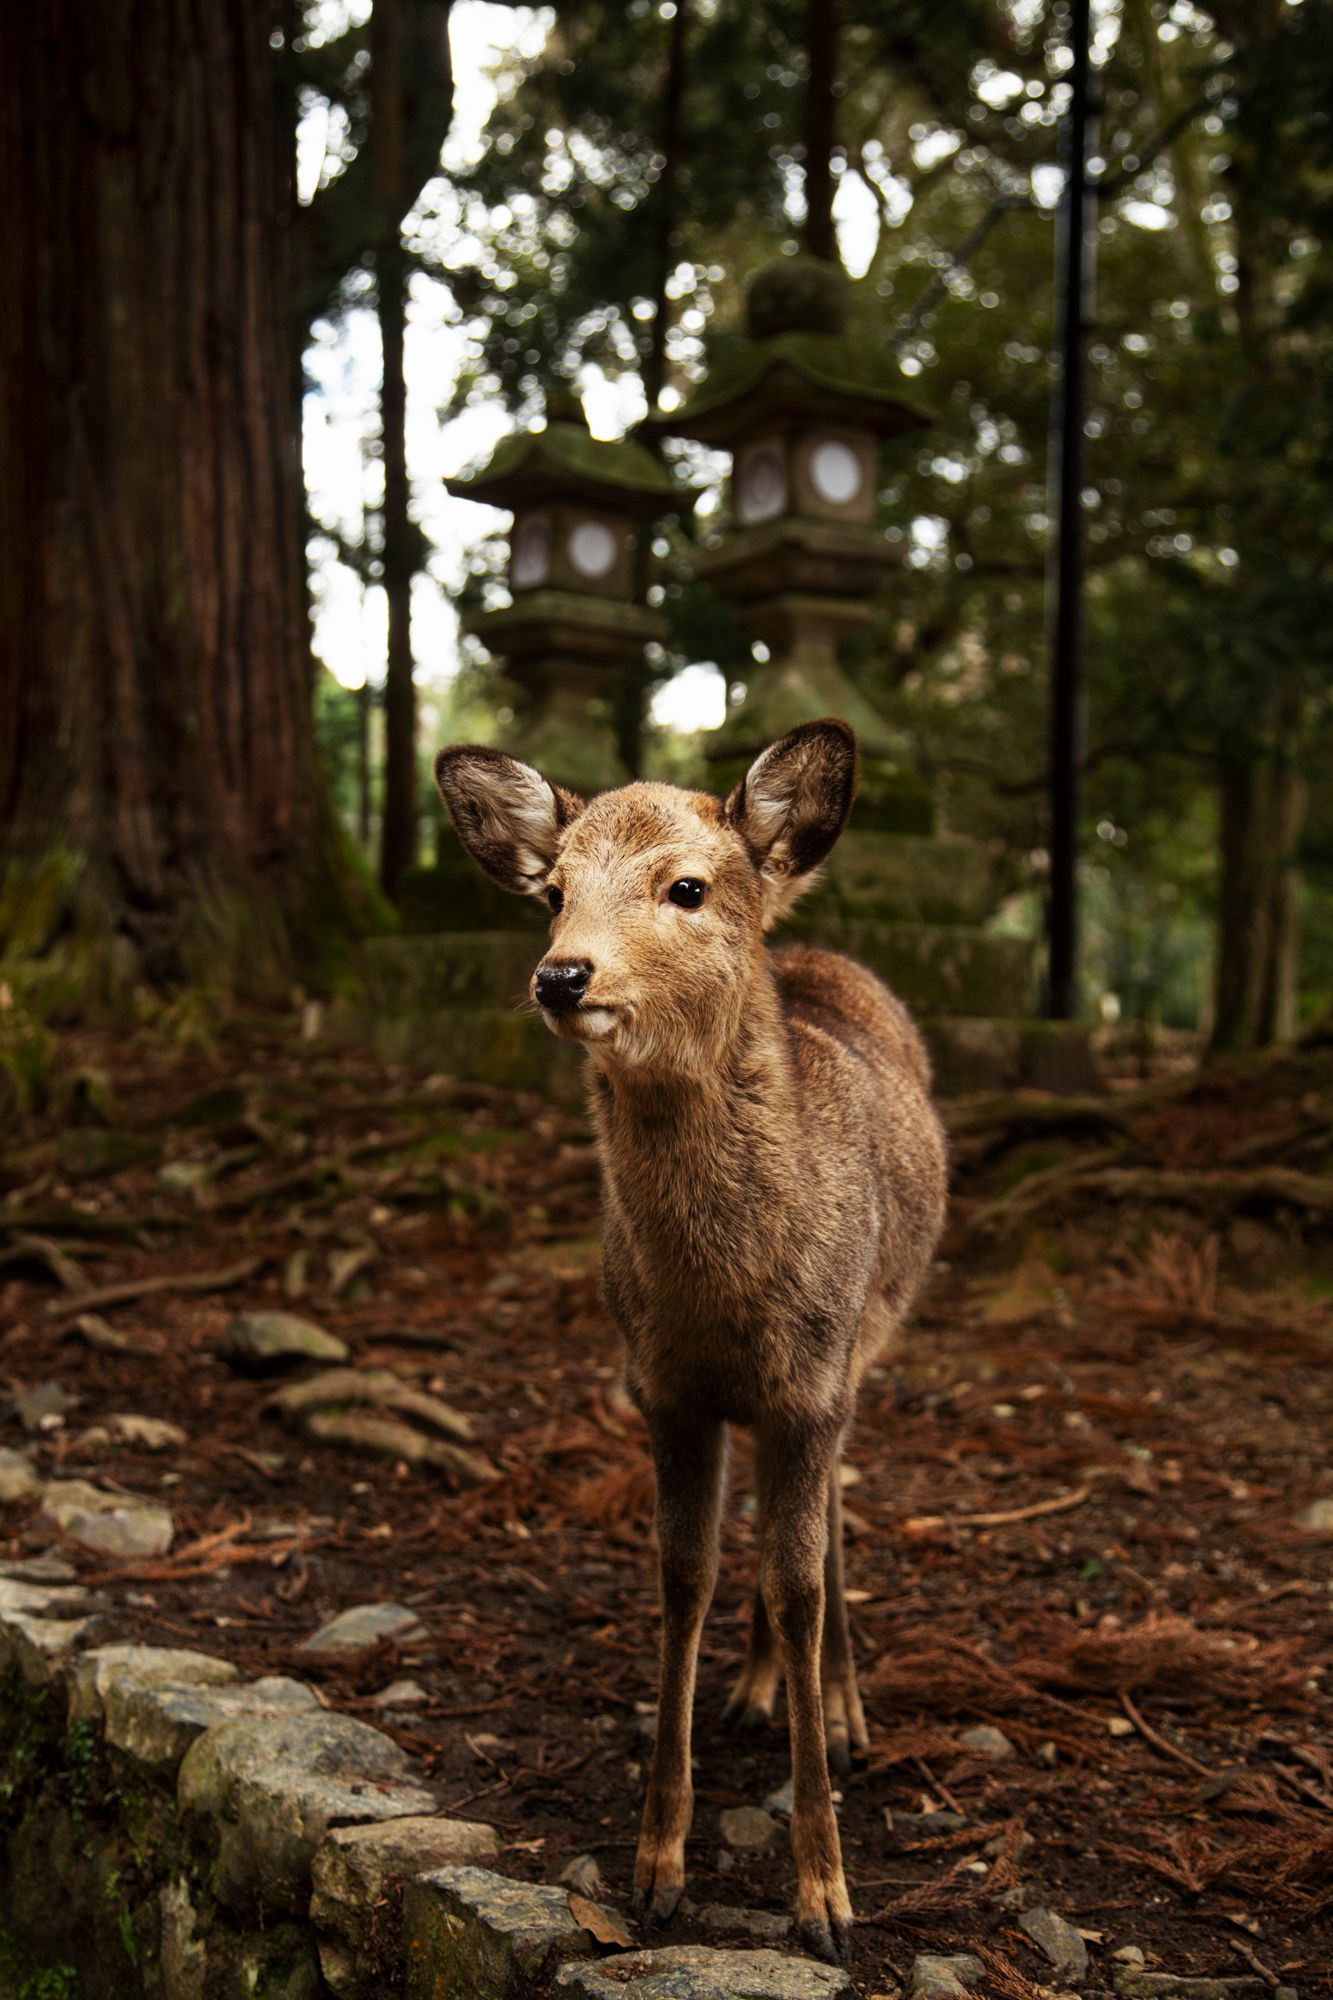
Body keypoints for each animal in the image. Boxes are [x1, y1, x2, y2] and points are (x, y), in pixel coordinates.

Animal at [435, 718, 948, 1964]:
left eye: (686, 886)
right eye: (553, 892)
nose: (562, 973)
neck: (724, 1294)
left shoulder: (814, 1378)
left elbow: (801, 1579)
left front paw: (825, 1896)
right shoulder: (660, 1385)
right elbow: (684, 1576)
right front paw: (655, 1867)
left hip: (866, 1344)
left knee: (828, 1522)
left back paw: (843, 1708)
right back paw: (756, 1686)